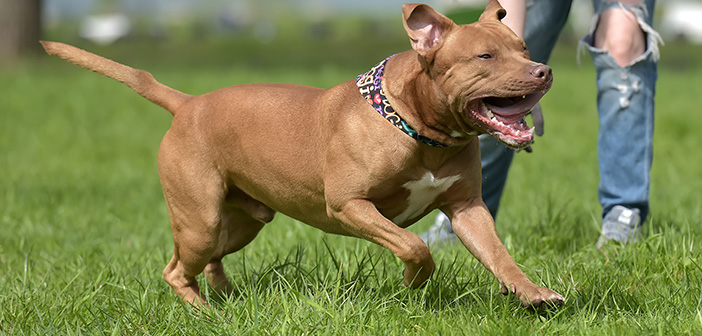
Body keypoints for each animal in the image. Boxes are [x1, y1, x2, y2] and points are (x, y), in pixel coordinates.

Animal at [42, 0, 568, 308]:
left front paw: (532, 294)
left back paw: (226, 297)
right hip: (199, 218)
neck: (419, 127)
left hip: (242, 220)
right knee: (175, 269)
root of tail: (188, 103)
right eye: (485, 57)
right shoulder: (350, 205)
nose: (543, 70)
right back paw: (203, 312)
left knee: (208, 259)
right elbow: (413, 245)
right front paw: (413, 283)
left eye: (523, 47)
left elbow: (498, 254)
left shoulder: (467, 208)